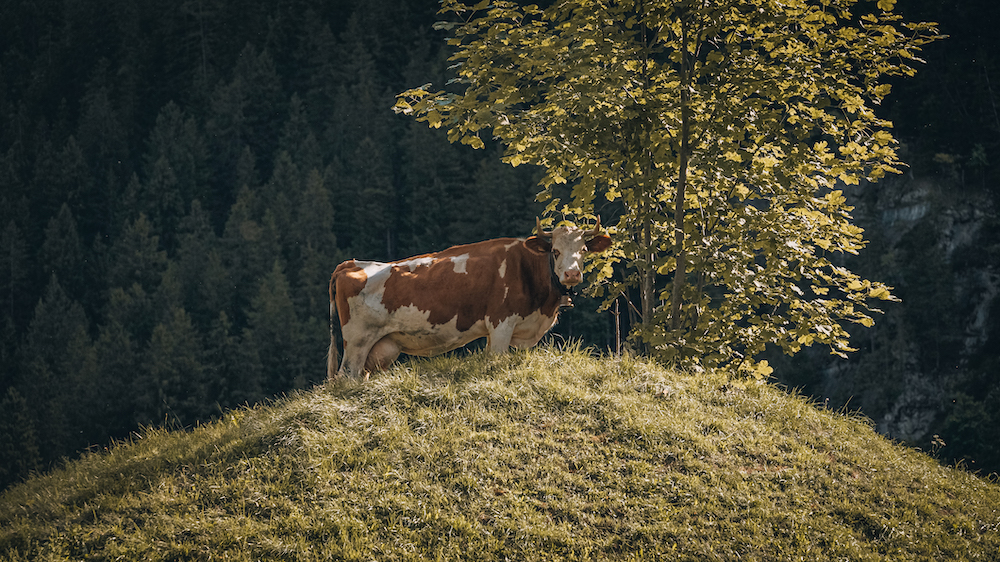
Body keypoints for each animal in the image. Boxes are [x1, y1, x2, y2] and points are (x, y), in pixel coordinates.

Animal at [324, 217, 612, 378]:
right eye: (555, 251)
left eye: (584, 250)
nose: (572, 274)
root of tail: (351, 263)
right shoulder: (501, 323)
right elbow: (496, 360)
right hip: (357, 340)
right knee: (346, 376)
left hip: (379, 346)